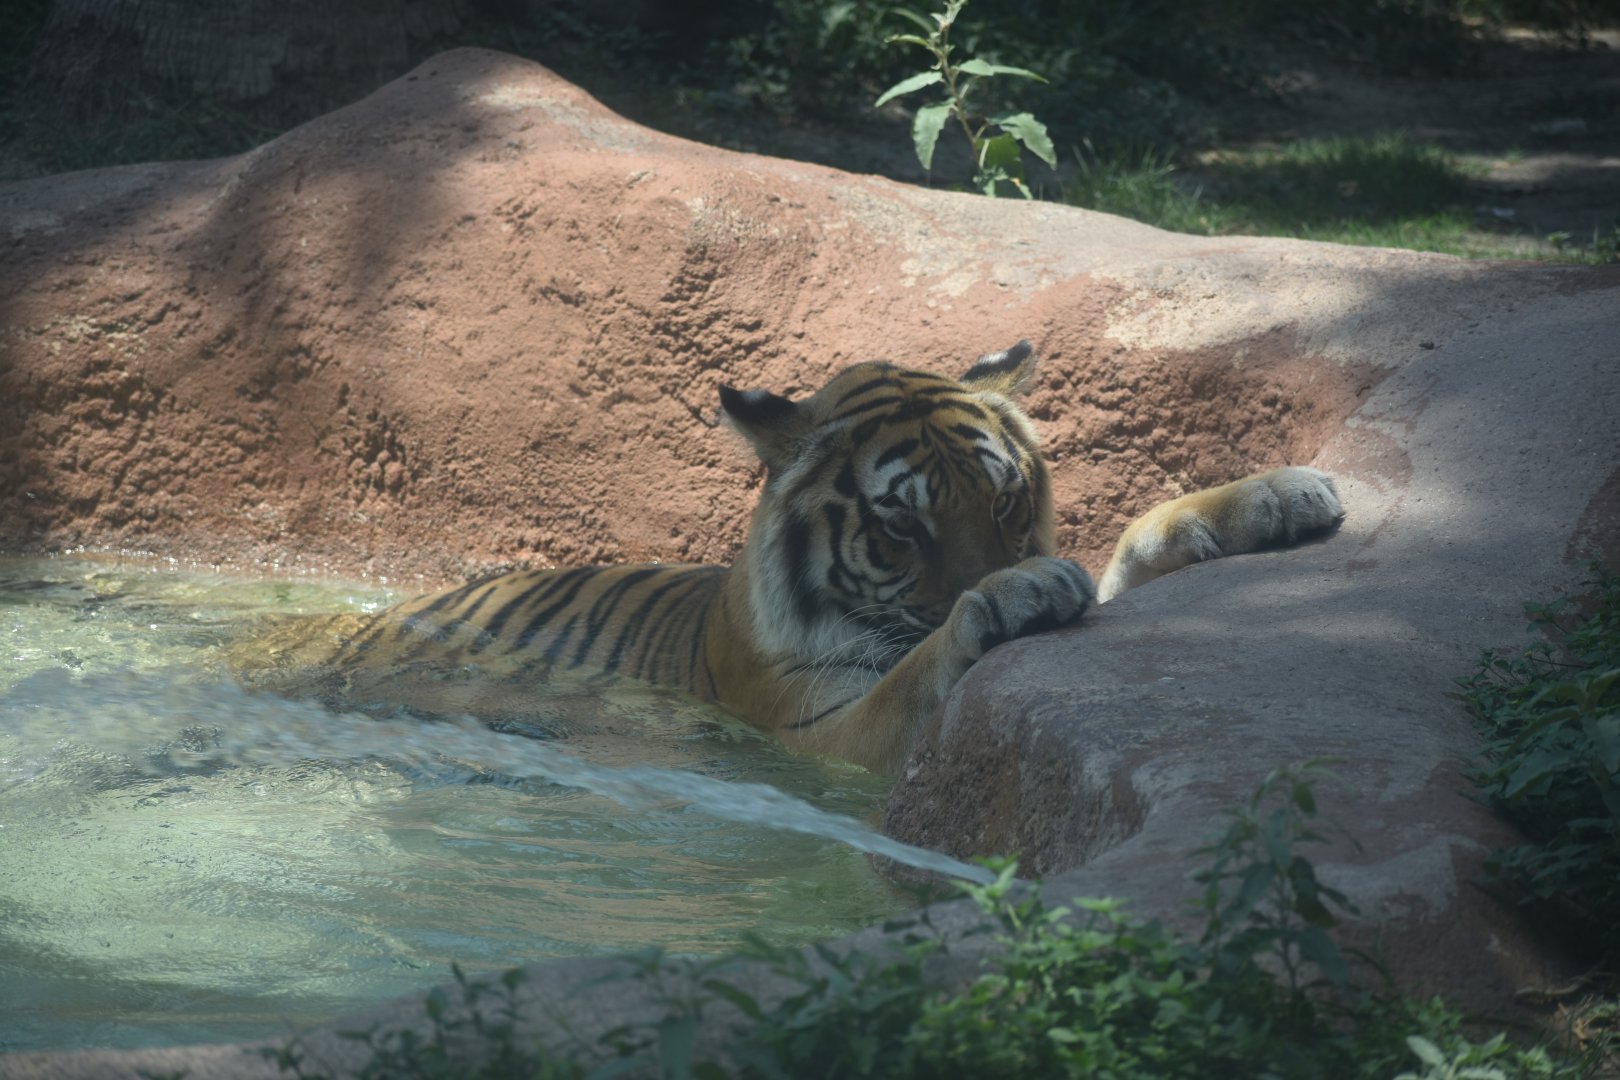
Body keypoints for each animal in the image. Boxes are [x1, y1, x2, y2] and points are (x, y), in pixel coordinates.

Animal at [303, 341, 1342, 773]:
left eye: (1006, 503)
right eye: (902, 530)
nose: (1002, 565)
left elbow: (1135, 537)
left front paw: (1278, 495)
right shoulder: (813, 730)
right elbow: (915, 670)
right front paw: (1014, 594)